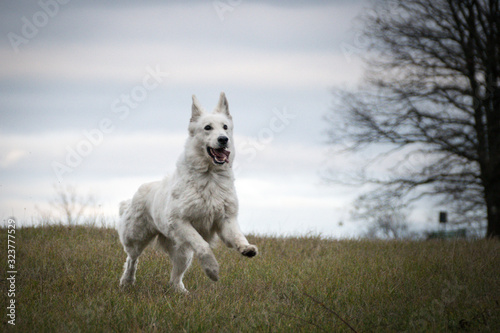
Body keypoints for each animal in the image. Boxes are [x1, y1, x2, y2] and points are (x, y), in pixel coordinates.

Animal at [117, 92, 258, 292]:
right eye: (208, 127)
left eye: (225, 127)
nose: (224, 139)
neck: (210, 177)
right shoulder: (180, 222)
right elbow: (202, 245)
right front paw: (212, 270)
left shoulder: (226, 220)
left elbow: (238, 237)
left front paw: (246, 248)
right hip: (136, 238)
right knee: (131, 259)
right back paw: (127, 281)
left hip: (183, 253)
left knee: (175, 278)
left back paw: (181, 292)